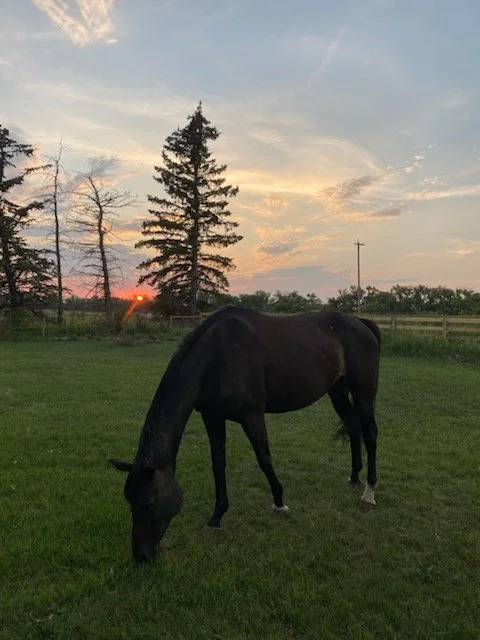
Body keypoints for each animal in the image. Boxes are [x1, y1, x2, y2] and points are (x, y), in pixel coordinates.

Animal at [110, 305, 381, 563]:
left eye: (149, 503)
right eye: (129, 501)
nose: (142, 556)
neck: (217, 354)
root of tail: (361, 324)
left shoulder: (252, 416)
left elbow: (264, 459)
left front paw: (279, 502)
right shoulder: (212, 416)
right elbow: (218, 463)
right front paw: (216, 517)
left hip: (364, 394)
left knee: (370, 434)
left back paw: (369, 493)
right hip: (337, 390)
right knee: (353, 427)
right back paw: (354, 476)